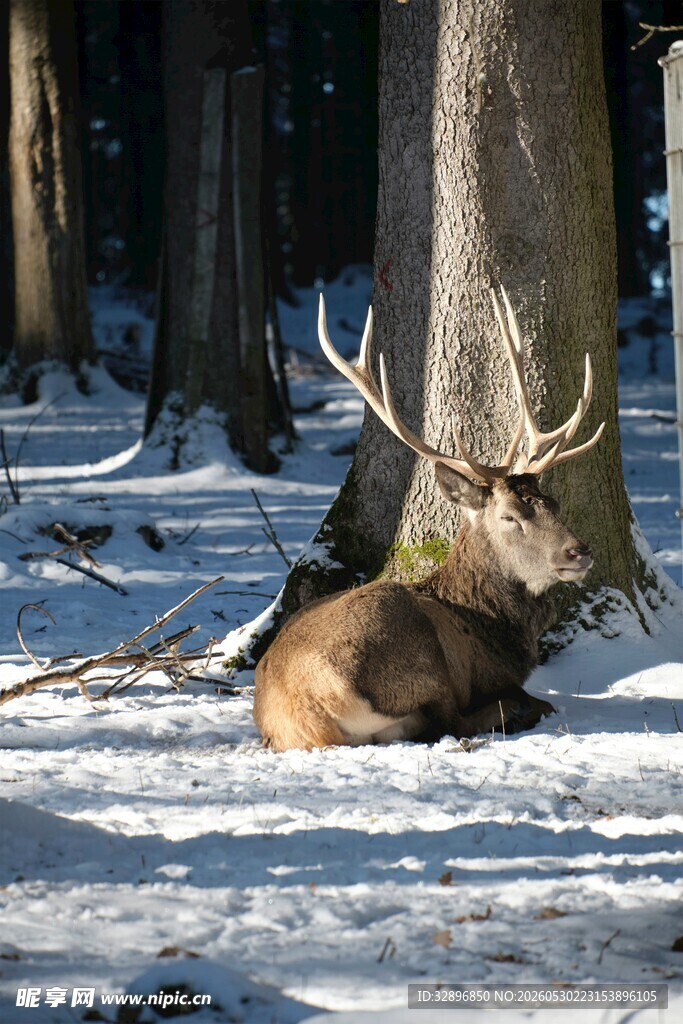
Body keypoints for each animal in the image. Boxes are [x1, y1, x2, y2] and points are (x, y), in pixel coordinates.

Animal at [253, 287, 604, 751]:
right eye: (510, 516)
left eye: (554, 504)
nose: (579, 552)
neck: (491, 628)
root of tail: (305, 712)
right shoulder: (488, 675)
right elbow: (532, 698)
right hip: (416, 661)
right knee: (455, 722)